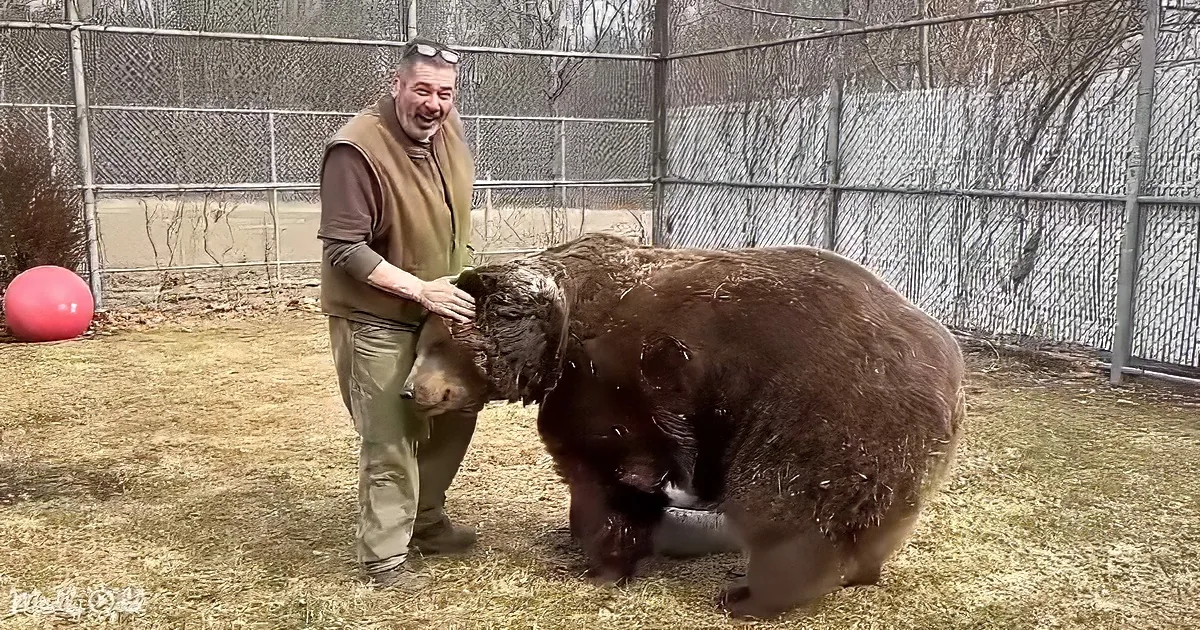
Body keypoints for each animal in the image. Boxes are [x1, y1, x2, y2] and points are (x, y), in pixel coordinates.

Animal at [401, 232, 966, 620]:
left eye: (439, 345)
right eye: (421, 345)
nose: (411, 391)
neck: (555, 344)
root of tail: (948, 361)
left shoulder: (610, 386)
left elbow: (610, 476)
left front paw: (597, 564)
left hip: (822, 410)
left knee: (786, 506)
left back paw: (747, 595)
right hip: (895, 448)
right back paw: (861, 573)